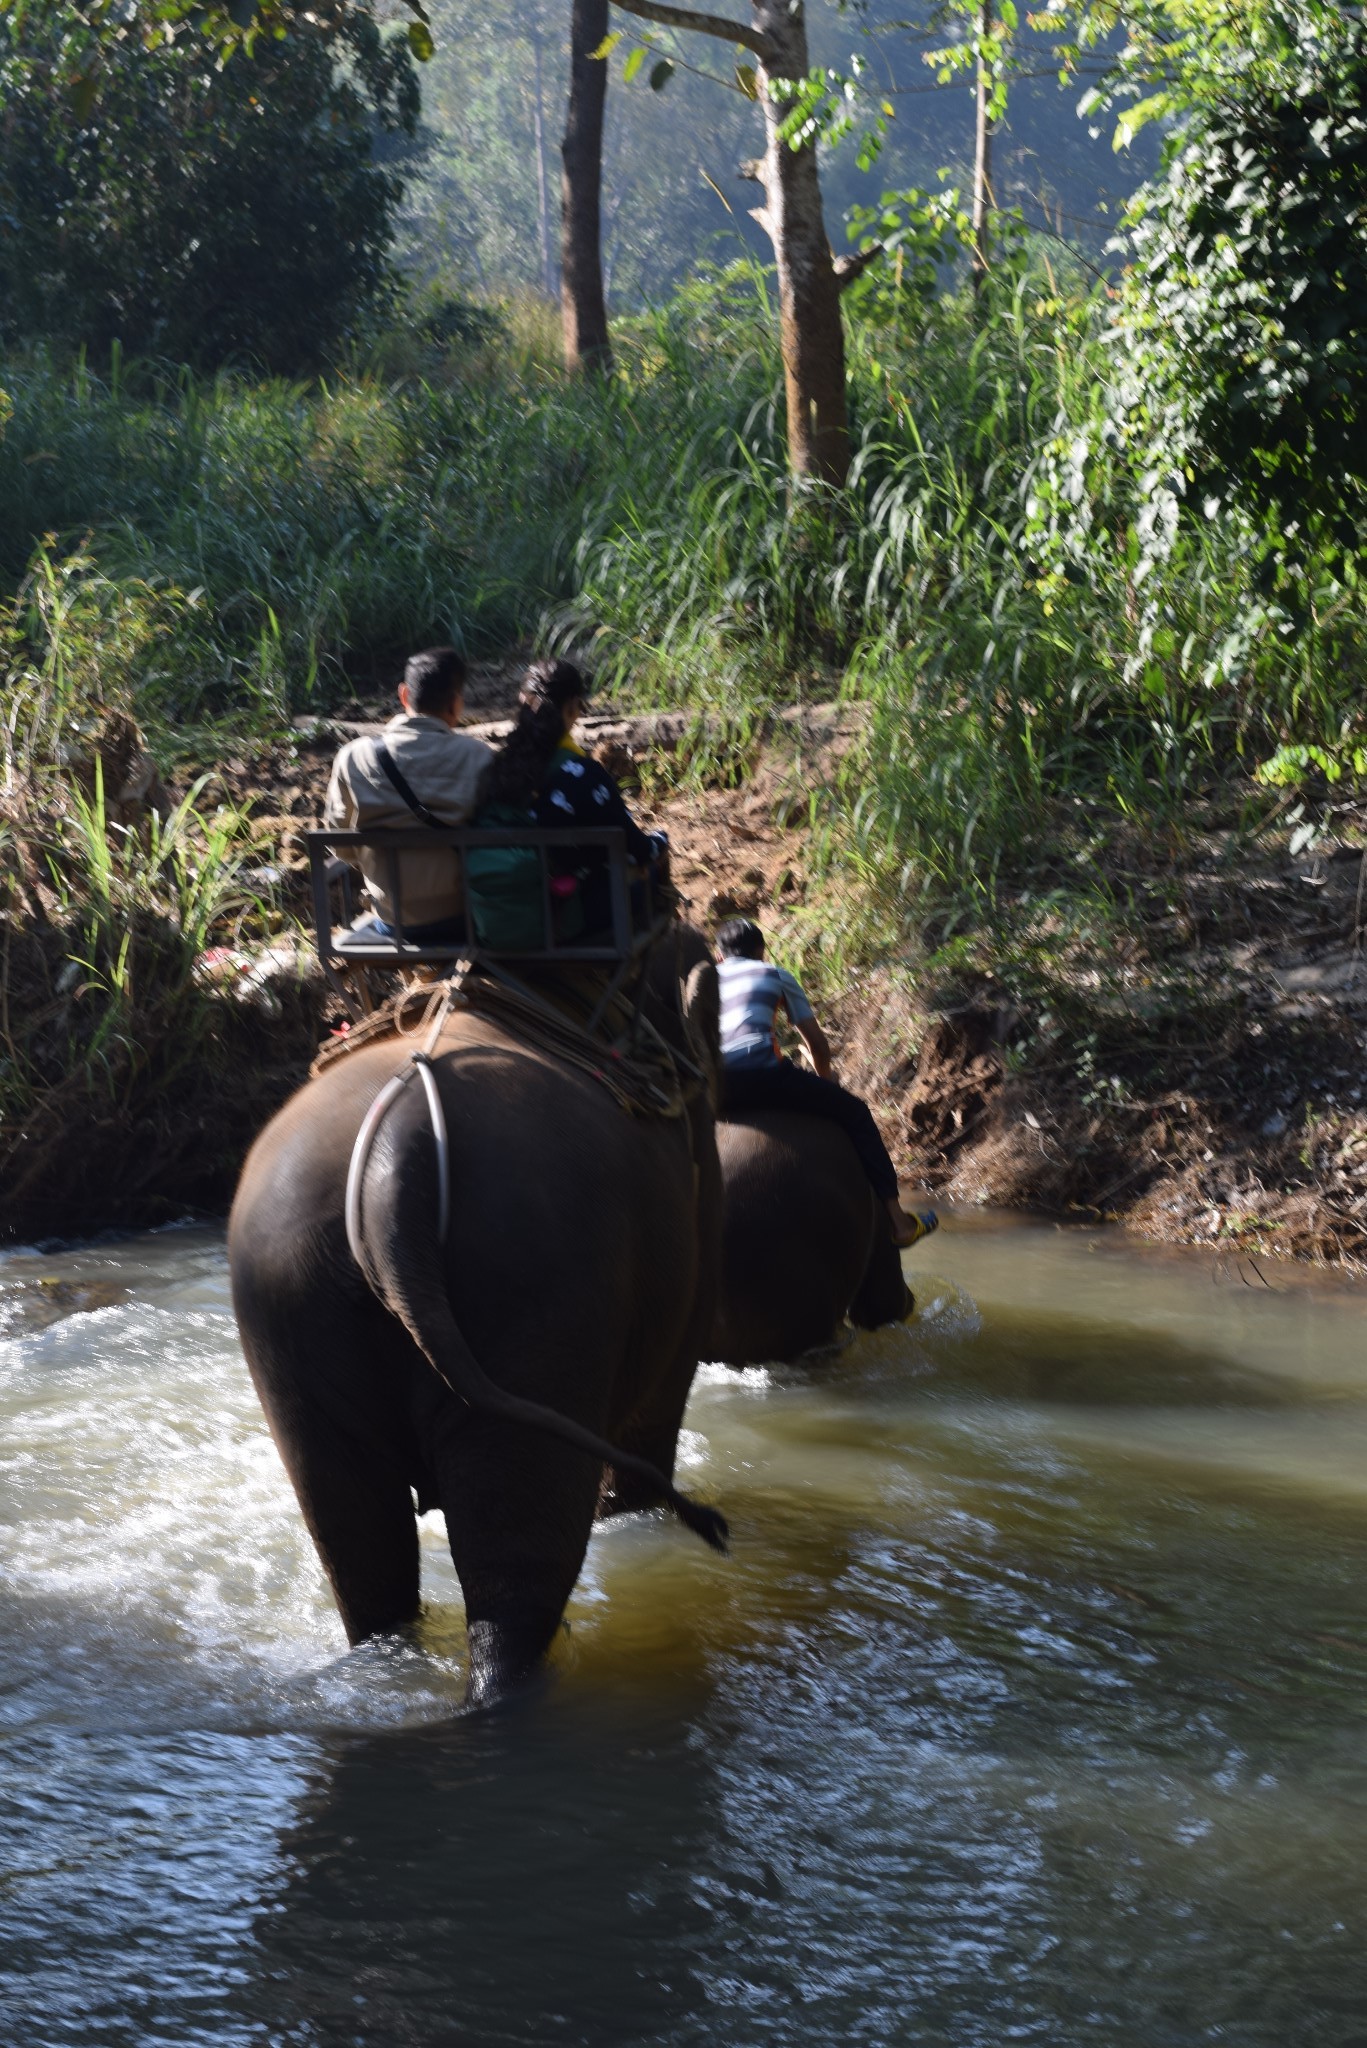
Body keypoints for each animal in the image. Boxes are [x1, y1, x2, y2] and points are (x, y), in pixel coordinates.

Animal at [229, 925, 733, 1695]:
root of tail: (394, 1165)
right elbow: (659, 1404)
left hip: (284, 1298)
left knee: (356, 1539)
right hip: (540, 1285)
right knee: (520, 1558)